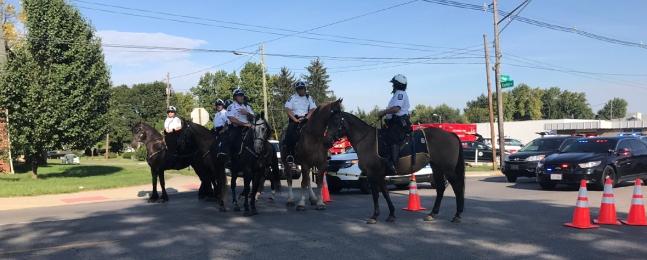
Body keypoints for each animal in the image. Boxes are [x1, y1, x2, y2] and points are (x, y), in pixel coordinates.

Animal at [326, 109, 464, 223]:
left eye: (336, 121)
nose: (327, 140)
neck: (367, 141)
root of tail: (451, 135)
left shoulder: (372, 174)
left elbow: (375, 194)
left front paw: (374, 216)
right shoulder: (380, 175)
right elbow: (385, 193)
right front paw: (391, 214)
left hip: (448, 169)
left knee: (457, 187)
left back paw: (457, 215)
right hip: (437, 168)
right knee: (440, 188)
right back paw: (432, 214)